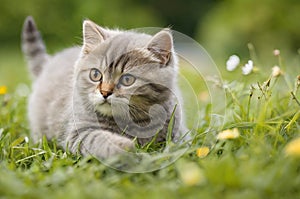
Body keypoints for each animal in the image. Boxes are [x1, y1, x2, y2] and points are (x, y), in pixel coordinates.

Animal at [21, 15, 185, 159]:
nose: (105, 92)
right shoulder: (78, 132)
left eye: (127, 79)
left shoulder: (179, 132)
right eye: (95, 74)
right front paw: (126, 147)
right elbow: (98, 140)